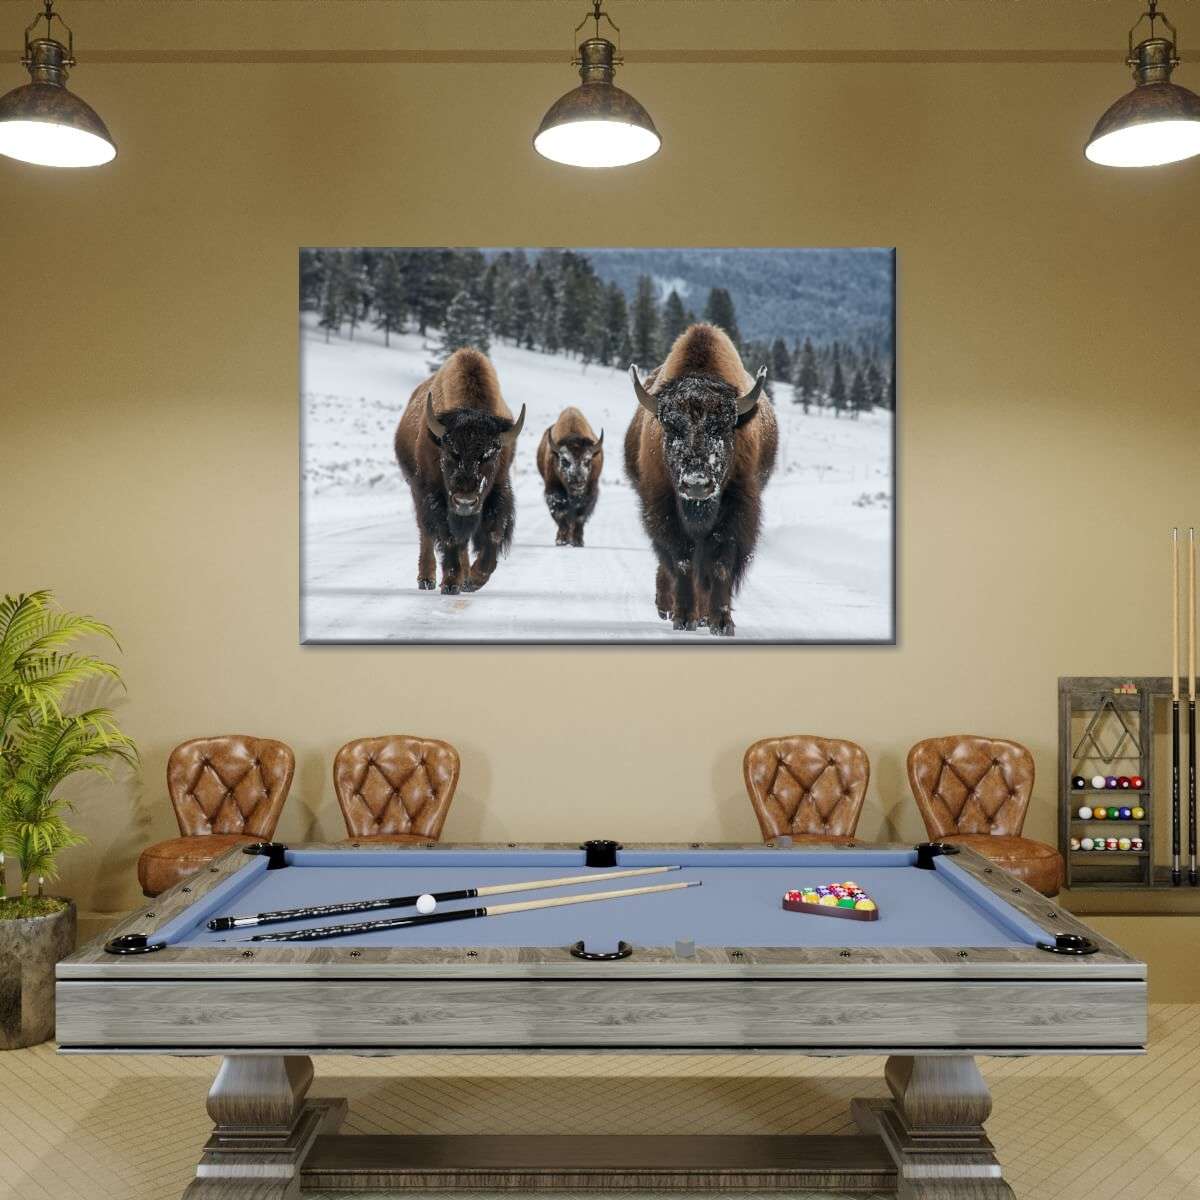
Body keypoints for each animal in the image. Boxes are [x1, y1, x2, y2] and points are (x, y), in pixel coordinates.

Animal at [394, 349, 525, 594]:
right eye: (450, 452)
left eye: (490, 455)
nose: (465, 501)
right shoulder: (434, 494)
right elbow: (449, 538)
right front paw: (451, 583)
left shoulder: (499, 489)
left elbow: (492, 534)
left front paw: (474, 579)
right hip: (416, 490)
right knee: (425, 532)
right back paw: (426, 579)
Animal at [535, 407, 604, 547]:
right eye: (565, 461)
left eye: (587, 460)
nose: (578, 481)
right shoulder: (553, 491)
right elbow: (561, 515)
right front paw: (561, 540)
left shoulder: (590, 493)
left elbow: (580, 517)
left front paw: (577, 541)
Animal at [624, 323, 778, 636]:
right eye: (671, 426)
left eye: (723, 427)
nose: (696, 484)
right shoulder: (663, 510)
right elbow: (682, 562)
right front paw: (684, 617)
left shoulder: (735, 514)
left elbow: (718, 564)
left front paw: (721, 622)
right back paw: (668, 607)